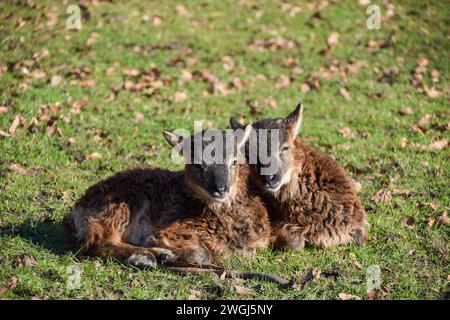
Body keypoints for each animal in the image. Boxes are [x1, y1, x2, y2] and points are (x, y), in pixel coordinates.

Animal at [60, 126, 270, 266]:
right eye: (197, 164)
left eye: (233, 161)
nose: (220, 189)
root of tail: (77, 210)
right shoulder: (173, 230)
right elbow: (202, 255)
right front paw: (162, 248)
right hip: (119, 207)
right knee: (98, 243)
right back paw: (147, 257)